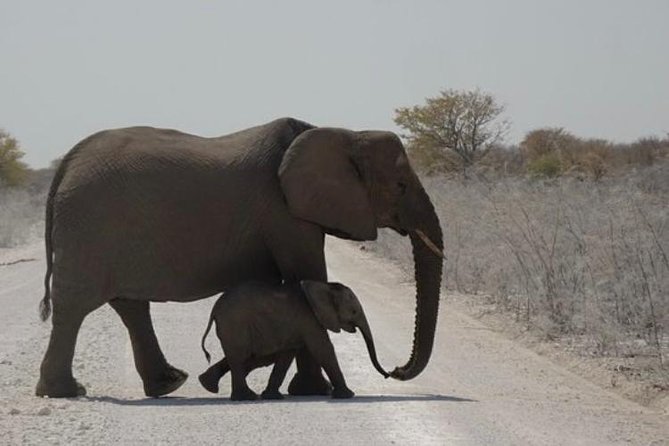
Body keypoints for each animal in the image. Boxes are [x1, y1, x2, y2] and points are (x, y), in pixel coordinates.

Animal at [197, 278, 386, 400]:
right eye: (354, 311)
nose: (388, 375)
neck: (325, 287)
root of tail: (215, 309)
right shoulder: (309, 319)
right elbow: (323, 349)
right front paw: (348, 395)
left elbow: (287, 355)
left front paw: (273, 397)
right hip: (235, 323)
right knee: (239, 356)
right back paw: (246, 397)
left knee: (245, 357)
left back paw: (207, 384)